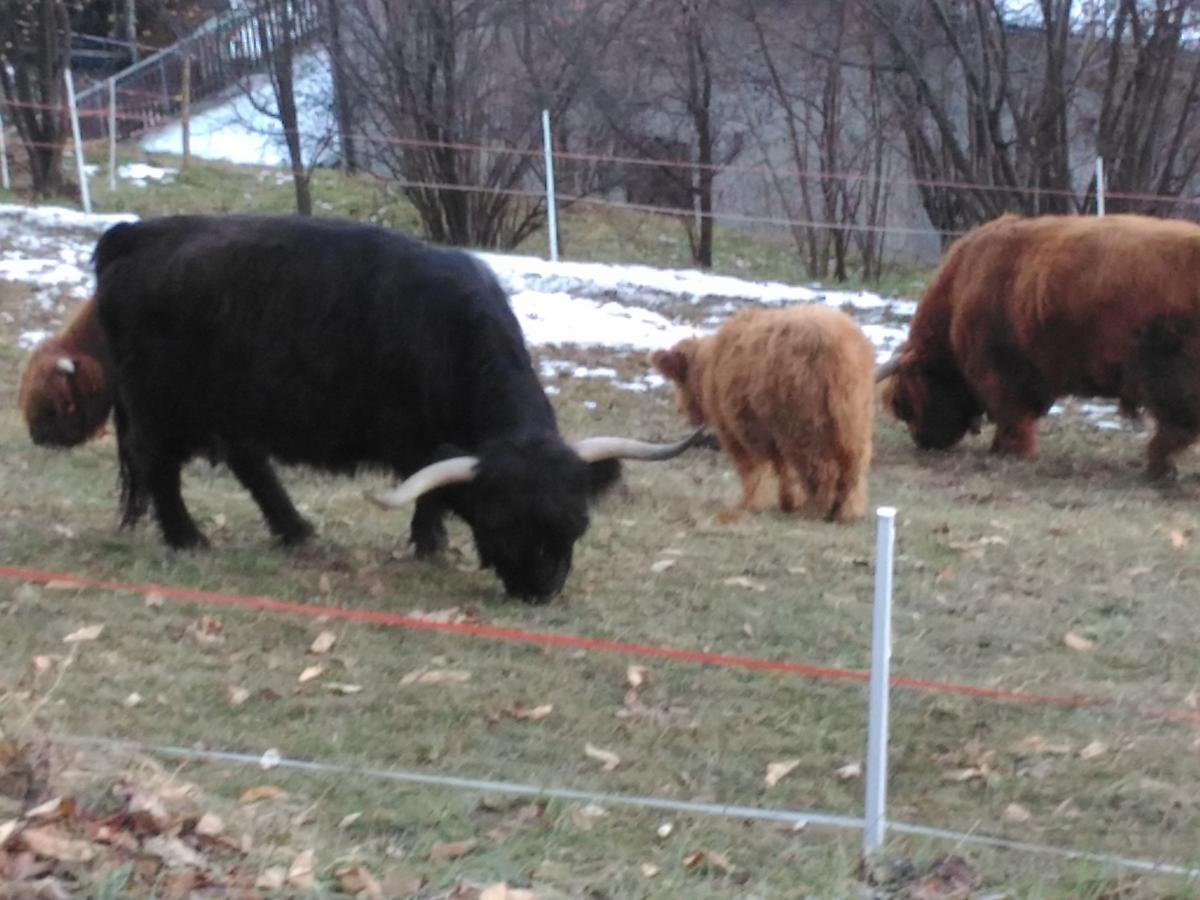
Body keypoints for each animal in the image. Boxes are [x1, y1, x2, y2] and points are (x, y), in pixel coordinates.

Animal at [96, 214, 700, 602]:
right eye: (499, 525)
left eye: (575, 523)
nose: (540, 590)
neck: (451, 332)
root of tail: (136, 233)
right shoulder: (412, 441)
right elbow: (427, 494)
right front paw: (430, 544)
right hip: (159, 405)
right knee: (160, 467)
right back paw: (188, 538)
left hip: (234, 407)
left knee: (249, 462)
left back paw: (295, 530)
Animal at [652, 304, 878, 520]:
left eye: (678, 380)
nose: (680, 408)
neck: (709, 367)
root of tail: (835, 343)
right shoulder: (773, 436)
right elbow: (784, 469)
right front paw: (787, 501)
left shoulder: (736, 430)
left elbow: (752, 469)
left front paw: (752, 503)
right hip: (855, 422)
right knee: (854, 468)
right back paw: (848, 511)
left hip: (805, 428)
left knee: (822, 469)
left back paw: (815, 511)